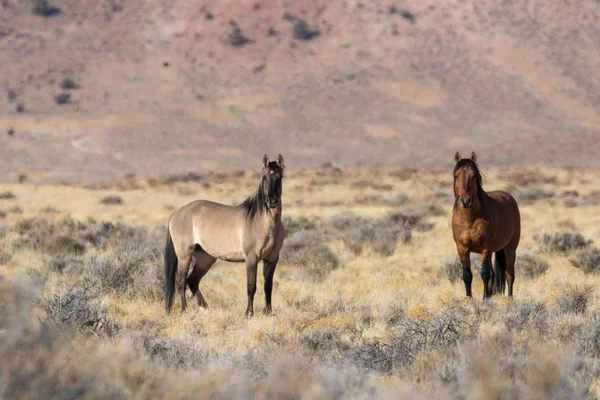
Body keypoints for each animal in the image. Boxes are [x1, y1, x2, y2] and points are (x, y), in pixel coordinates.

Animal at [164, 155, 286, 318]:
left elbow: (268, 286)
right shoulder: (251, 258)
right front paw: (248, 313)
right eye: (264, 177)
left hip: (206, 258)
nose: (272, 201)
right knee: (181, 282)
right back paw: (184, 311)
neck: (263, 223)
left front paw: (268, 312)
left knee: (192, 281)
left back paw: (205, 308)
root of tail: (177, 213)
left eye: (280, 177)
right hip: (185, 256)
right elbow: (251, 286)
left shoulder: (272, 259)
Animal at [452, 152, 516, 298]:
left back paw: (510, 298)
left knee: (509, 274)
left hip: (510, 248)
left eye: (473, 176)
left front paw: (485, 298)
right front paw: (469, 298)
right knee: (494, 274)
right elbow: (467, 275)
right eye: (457, 175)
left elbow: (484, 273)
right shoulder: (461, 248)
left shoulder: (485, 247)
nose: (465, 201)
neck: (469, 219)